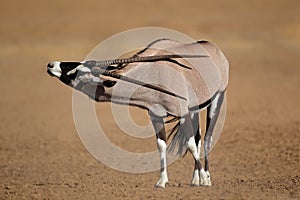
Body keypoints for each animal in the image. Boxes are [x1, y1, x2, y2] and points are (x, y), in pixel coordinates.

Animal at [47, 38, 229, 188]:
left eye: (81, 71)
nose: (51, 65)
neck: (154, 73)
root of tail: (214, 48)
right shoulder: (156, 115)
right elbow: (162, 144)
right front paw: (162, 181)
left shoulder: (182, 113)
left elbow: (190, 144)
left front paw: (205, 180)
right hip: (194, 109)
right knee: (198, 138)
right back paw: (195, 179)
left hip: (217, 98)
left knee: (206, 139)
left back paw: (205, 177)